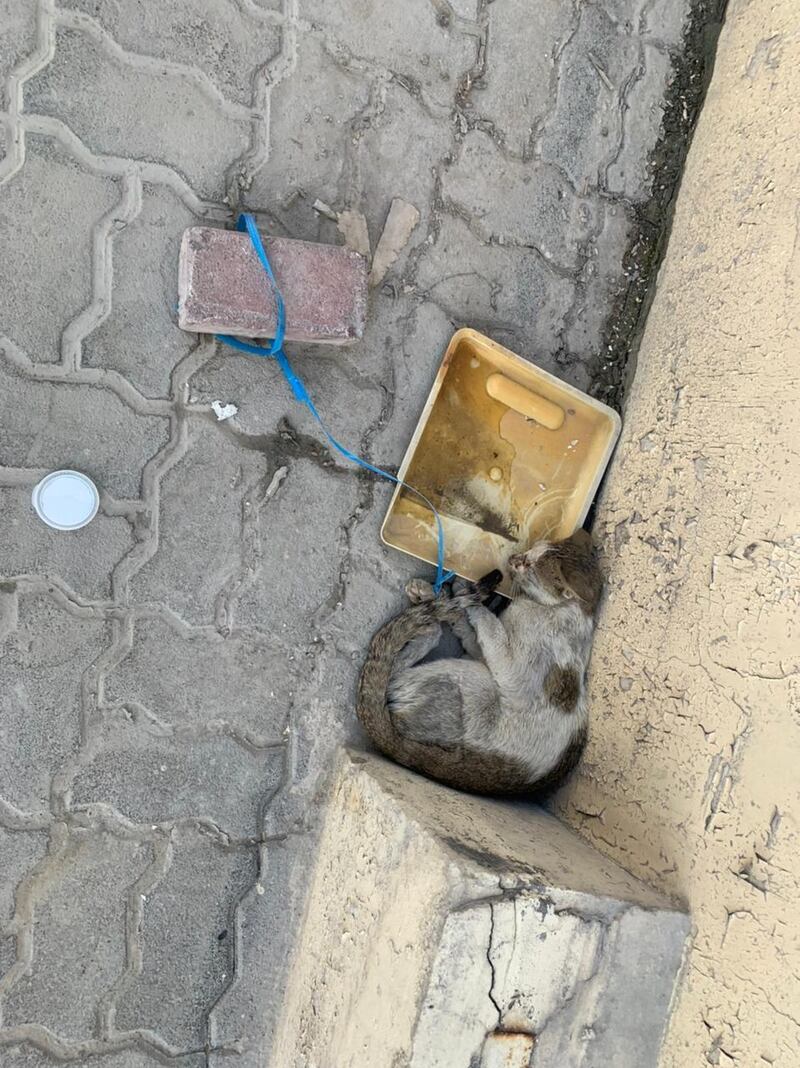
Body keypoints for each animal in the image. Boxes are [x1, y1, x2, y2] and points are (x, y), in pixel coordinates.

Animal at [352, 531, 602, 794]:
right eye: (529, 551)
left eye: (528, 565)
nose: (513, 559)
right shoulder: (484, 653)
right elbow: (468, 627)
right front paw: (457, 599)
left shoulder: (512, 673)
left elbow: (485, 621)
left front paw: (465, 597)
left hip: (468, 680)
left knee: (394, 674)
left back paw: (429, 610)